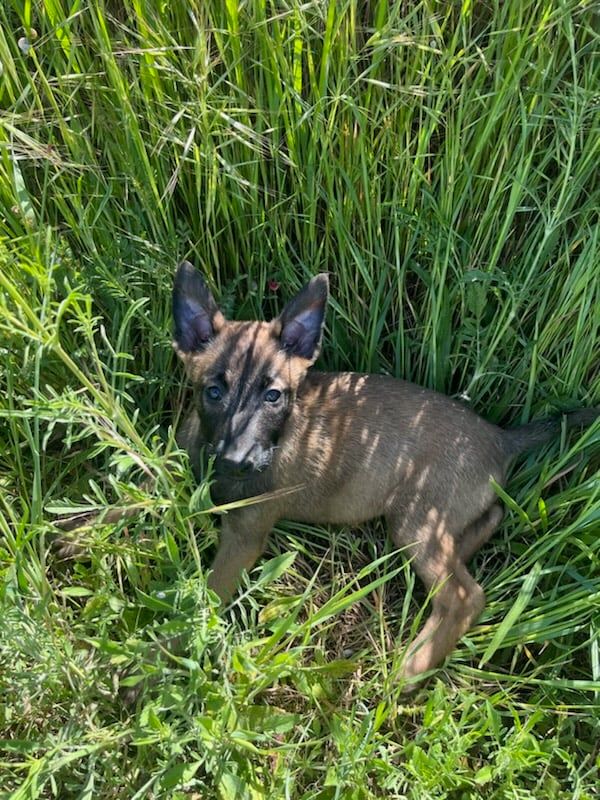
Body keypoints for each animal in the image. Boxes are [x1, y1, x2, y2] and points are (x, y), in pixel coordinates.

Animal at [172, 260, 598, 684]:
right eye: (213, 392)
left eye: (273, 395)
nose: (236, 461)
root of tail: (500, 437)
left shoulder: (246, 531)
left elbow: (206, 600)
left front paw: (171, 654)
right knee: (485, 525)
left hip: (416, 522)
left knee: (465, 597)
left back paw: (411, 668)